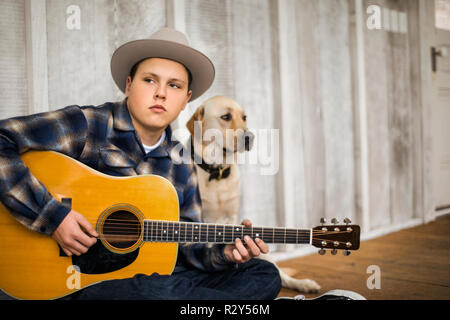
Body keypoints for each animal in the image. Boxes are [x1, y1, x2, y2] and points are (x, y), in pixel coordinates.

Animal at [185, 96, 320, 294]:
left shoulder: (231, 217)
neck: (218, 173)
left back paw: (304, 284)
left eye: (244, 117)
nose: (250, 137)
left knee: (281, 274)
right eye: (225, 117)